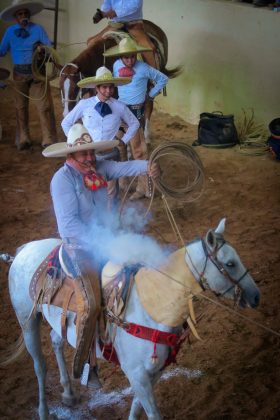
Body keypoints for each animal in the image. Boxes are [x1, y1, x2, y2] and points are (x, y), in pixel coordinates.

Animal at [0, 220, 260, 420]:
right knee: (40, 366)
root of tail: (26, 249)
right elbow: (153, 414)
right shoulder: (137, 374)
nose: (256, 296)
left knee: (55, 339)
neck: (153, 307)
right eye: (230, 263)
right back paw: (44, 411)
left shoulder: (152, 373)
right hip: (27, 321)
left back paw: (68, 393)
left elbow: (136, 408)